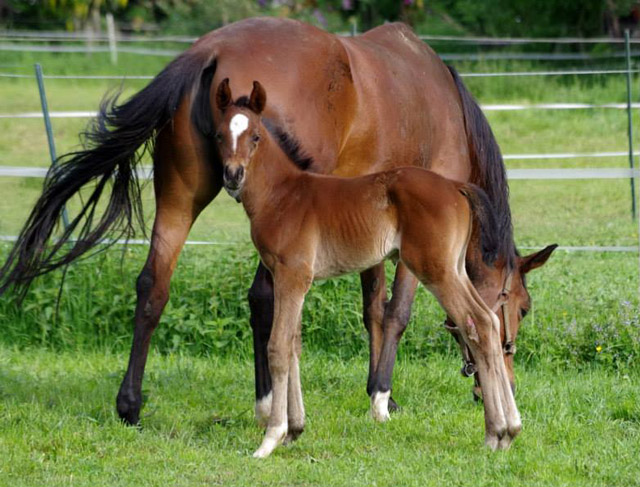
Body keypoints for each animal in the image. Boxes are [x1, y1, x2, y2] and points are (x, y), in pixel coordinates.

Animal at [0, 16, 552, 428]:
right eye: (522, 307)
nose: (504, 382)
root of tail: (211, 50)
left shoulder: (373, 232)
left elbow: (372, 310)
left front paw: (381, 391)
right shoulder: (414, 243)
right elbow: (396, 312)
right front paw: (381, 397)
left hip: (179, 198)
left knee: (153, 285)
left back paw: (130, 406)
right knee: (263, 299)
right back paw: (268, 404)